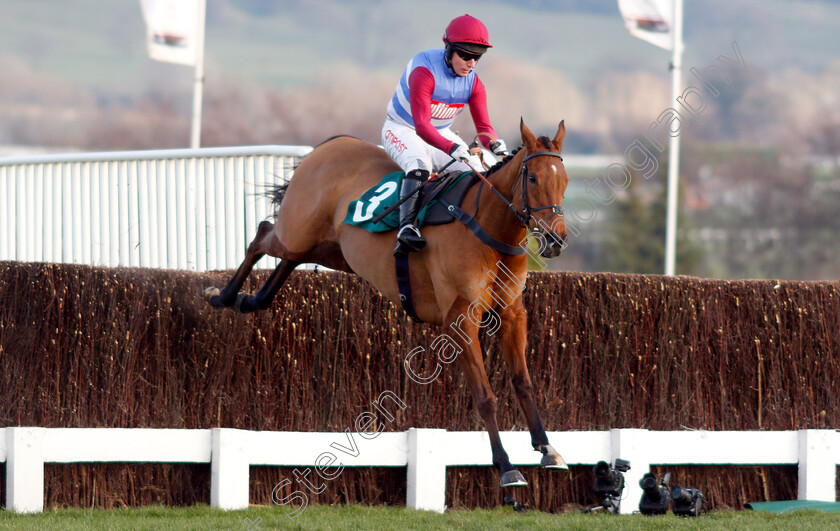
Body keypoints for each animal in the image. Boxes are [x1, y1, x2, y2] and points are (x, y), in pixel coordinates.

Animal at [204, 119, 572, 490]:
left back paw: (249, 299)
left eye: (565, 180)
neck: (489, 227)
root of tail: (331, 145)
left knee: (287, 260)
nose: (555, 240)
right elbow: (485, 396)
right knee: (261, 236)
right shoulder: (460, 320)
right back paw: (220, 295)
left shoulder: (511, 314)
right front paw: (507, 467)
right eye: (533, 178)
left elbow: (523, 383)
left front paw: (548, 449)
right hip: (297, 233)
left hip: (331, 250)